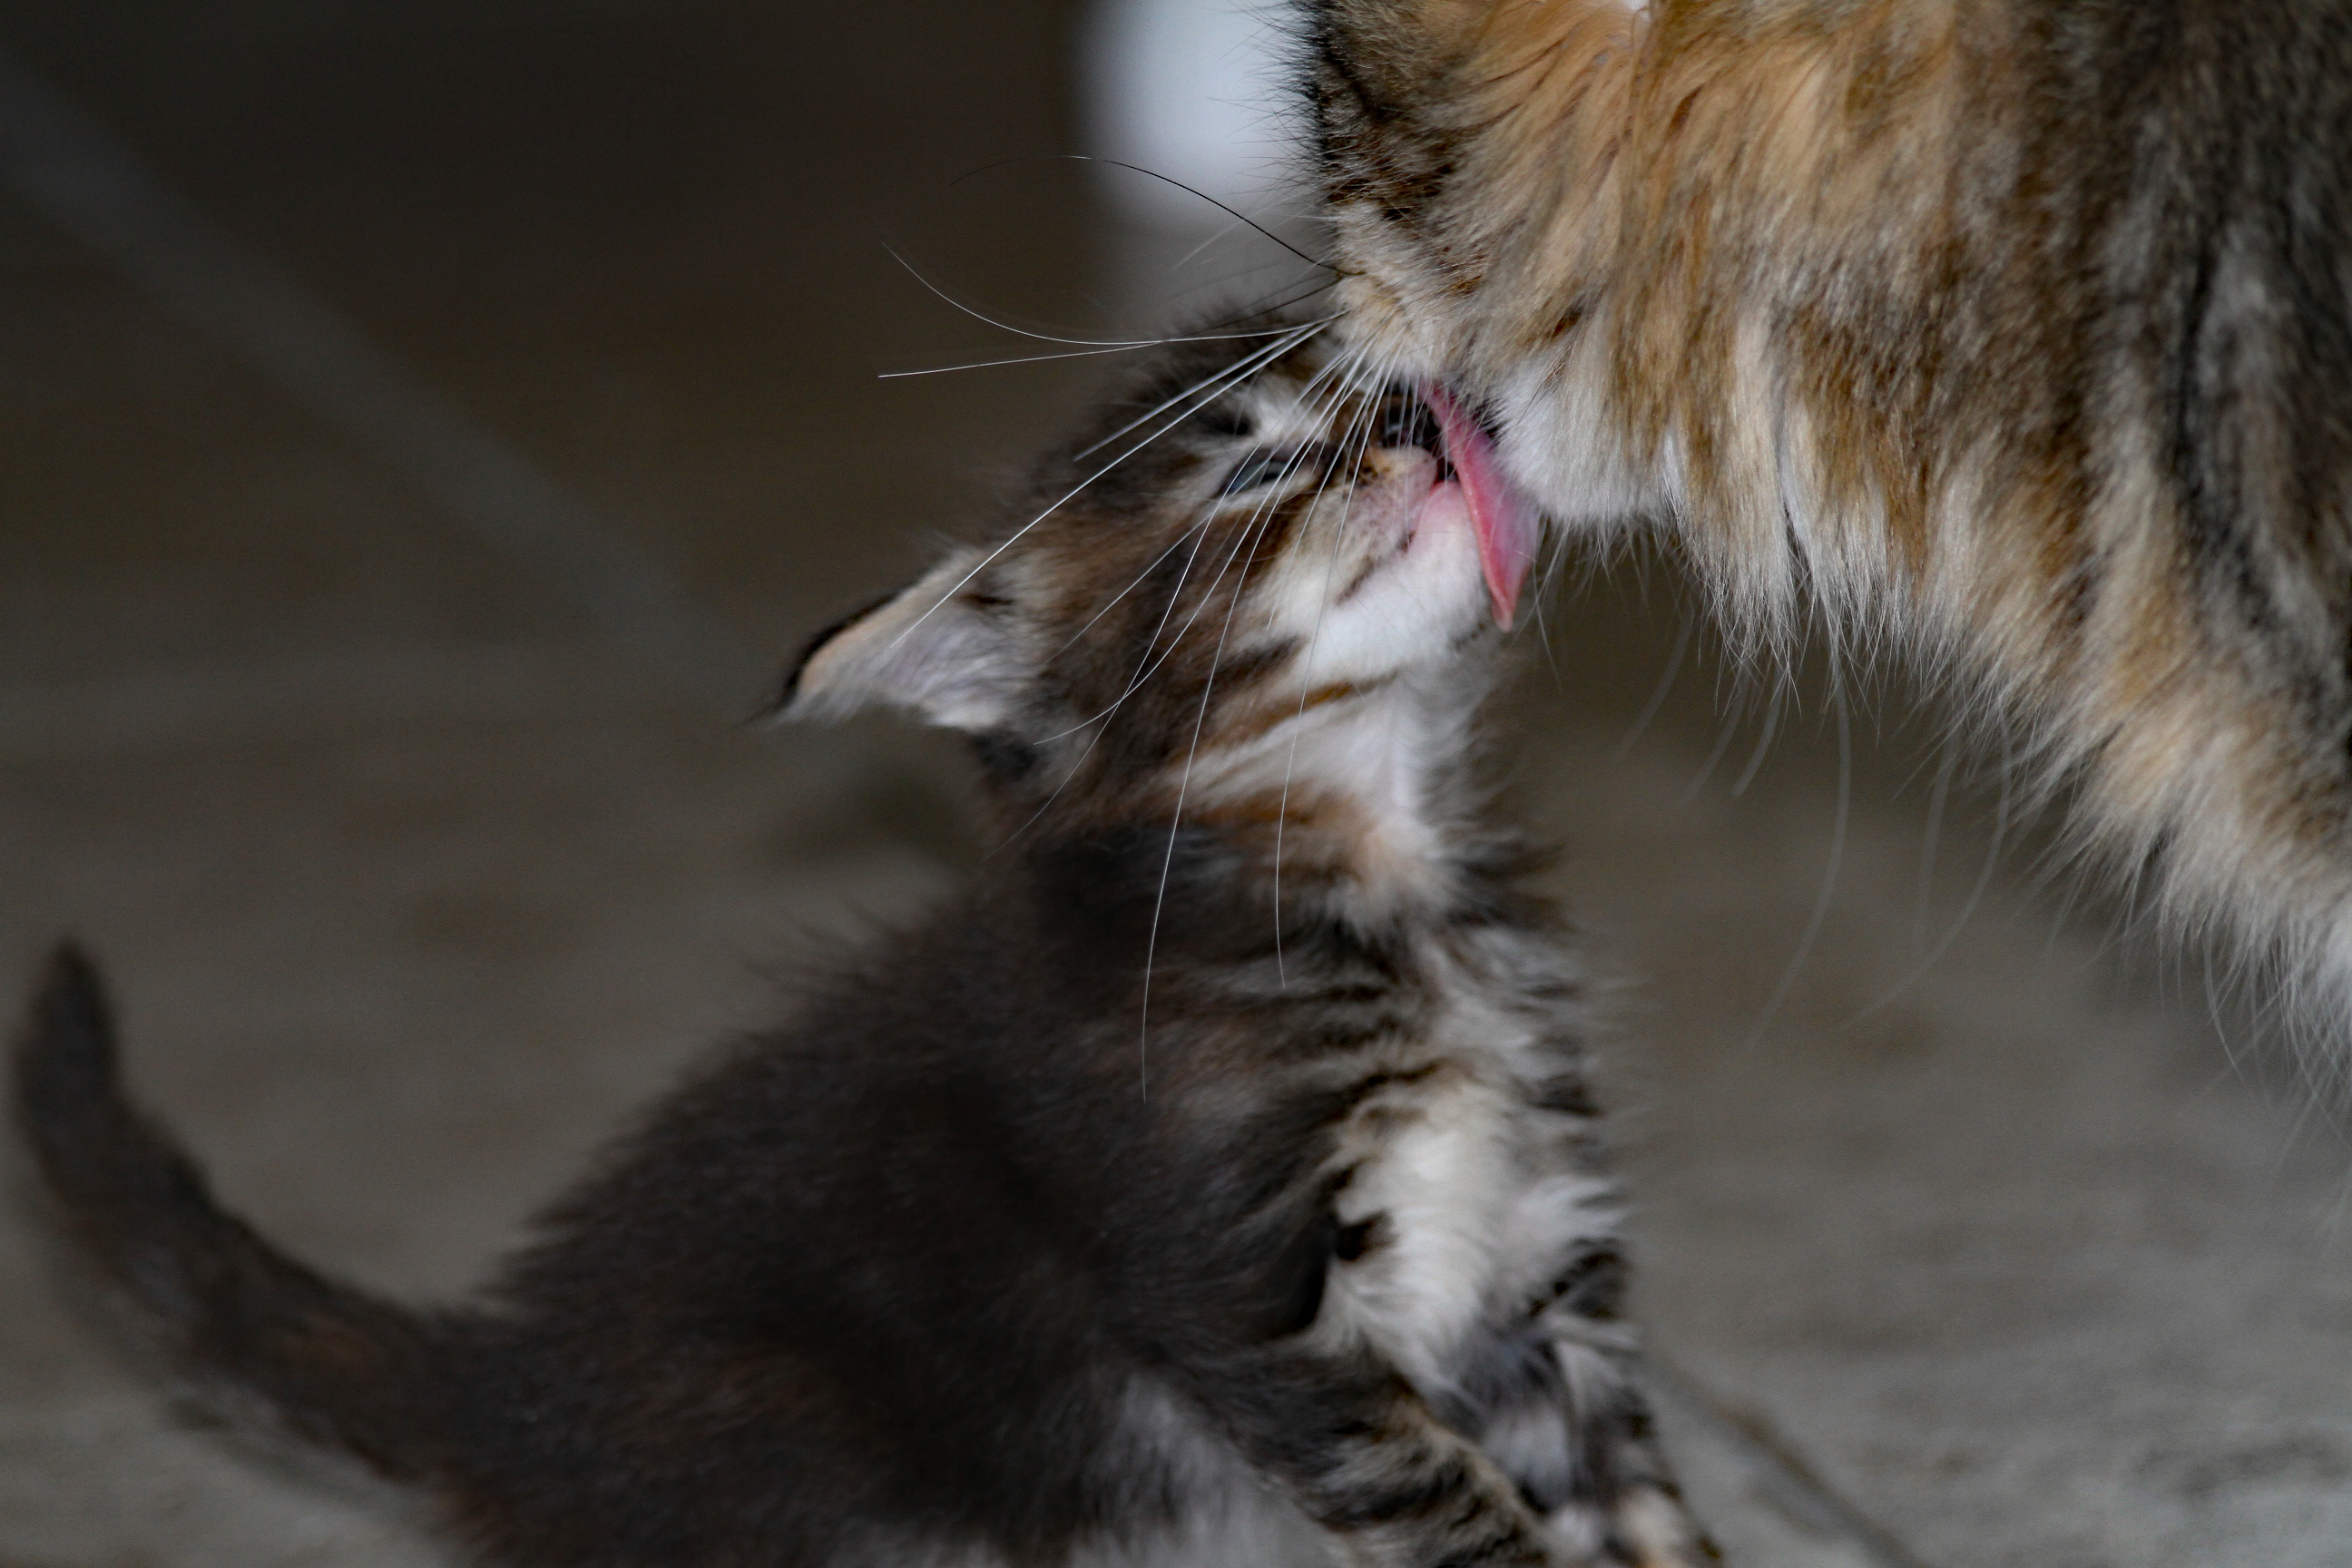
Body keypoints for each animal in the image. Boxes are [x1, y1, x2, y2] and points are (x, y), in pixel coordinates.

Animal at [14, 319, 1711, 1568]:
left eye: (1399, 399)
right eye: (1252, 466)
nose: (1428, 425)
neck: (1387, 884)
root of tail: (512, 1395)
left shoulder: (1530, 1259)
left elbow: (1633, 1501)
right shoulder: (1249, 1303)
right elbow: (1465, 1518)